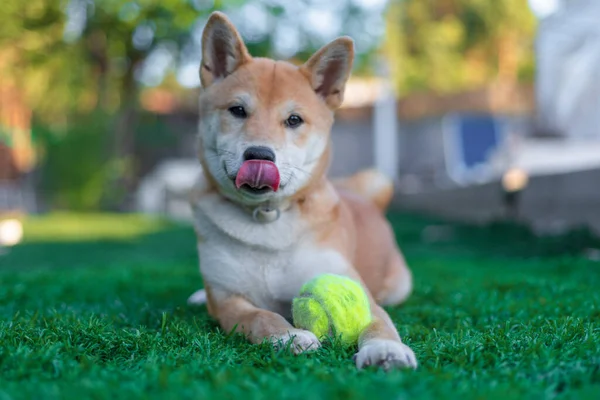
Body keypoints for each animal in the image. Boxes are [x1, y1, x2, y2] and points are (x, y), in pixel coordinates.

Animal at [189, 10, 418, 370]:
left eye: (294, 119)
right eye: (237, 110)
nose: (259, 155)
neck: (267, 220)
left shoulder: (353, 286)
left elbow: (377, 322)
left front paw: (387, 350)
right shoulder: (228, 299)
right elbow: (260, 316)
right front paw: (288, 336)